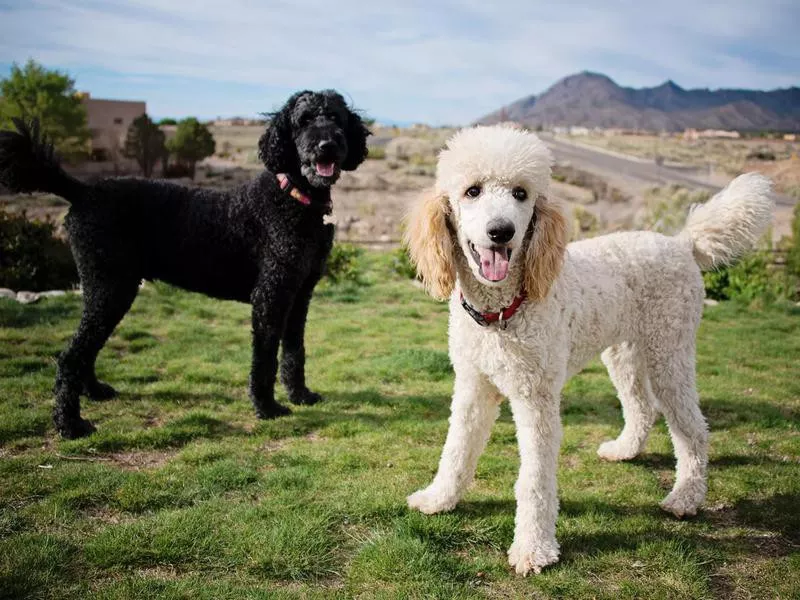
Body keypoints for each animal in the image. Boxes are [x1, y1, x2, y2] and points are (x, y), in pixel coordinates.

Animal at [0, 89, 368, 438]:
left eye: (335, 118)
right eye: (303, 121)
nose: (327, 146)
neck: (292, 196)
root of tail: (82, 192)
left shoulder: (299, 294)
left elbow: (294, 350)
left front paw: (301, 395)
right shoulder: (270, 295)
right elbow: (264, 356)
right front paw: (266, 407)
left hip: (108, 289)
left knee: (85, 349)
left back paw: (94, 392)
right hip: (110, 287)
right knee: (71, 355)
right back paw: (71, 425)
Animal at [406, 126, 776, 576]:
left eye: (521, 194)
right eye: (471, 191)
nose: (501, 231)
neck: (502, 312)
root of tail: (682, 243)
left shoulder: (536, 400)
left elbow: (534, 481)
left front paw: (534, 549)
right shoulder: (473, 387)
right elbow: (456, 450)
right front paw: (438, 499)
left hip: (669, 352)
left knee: (692, 428)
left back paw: (686, 497)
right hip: (624, 353)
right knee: (641, 407)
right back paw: (625, 450)